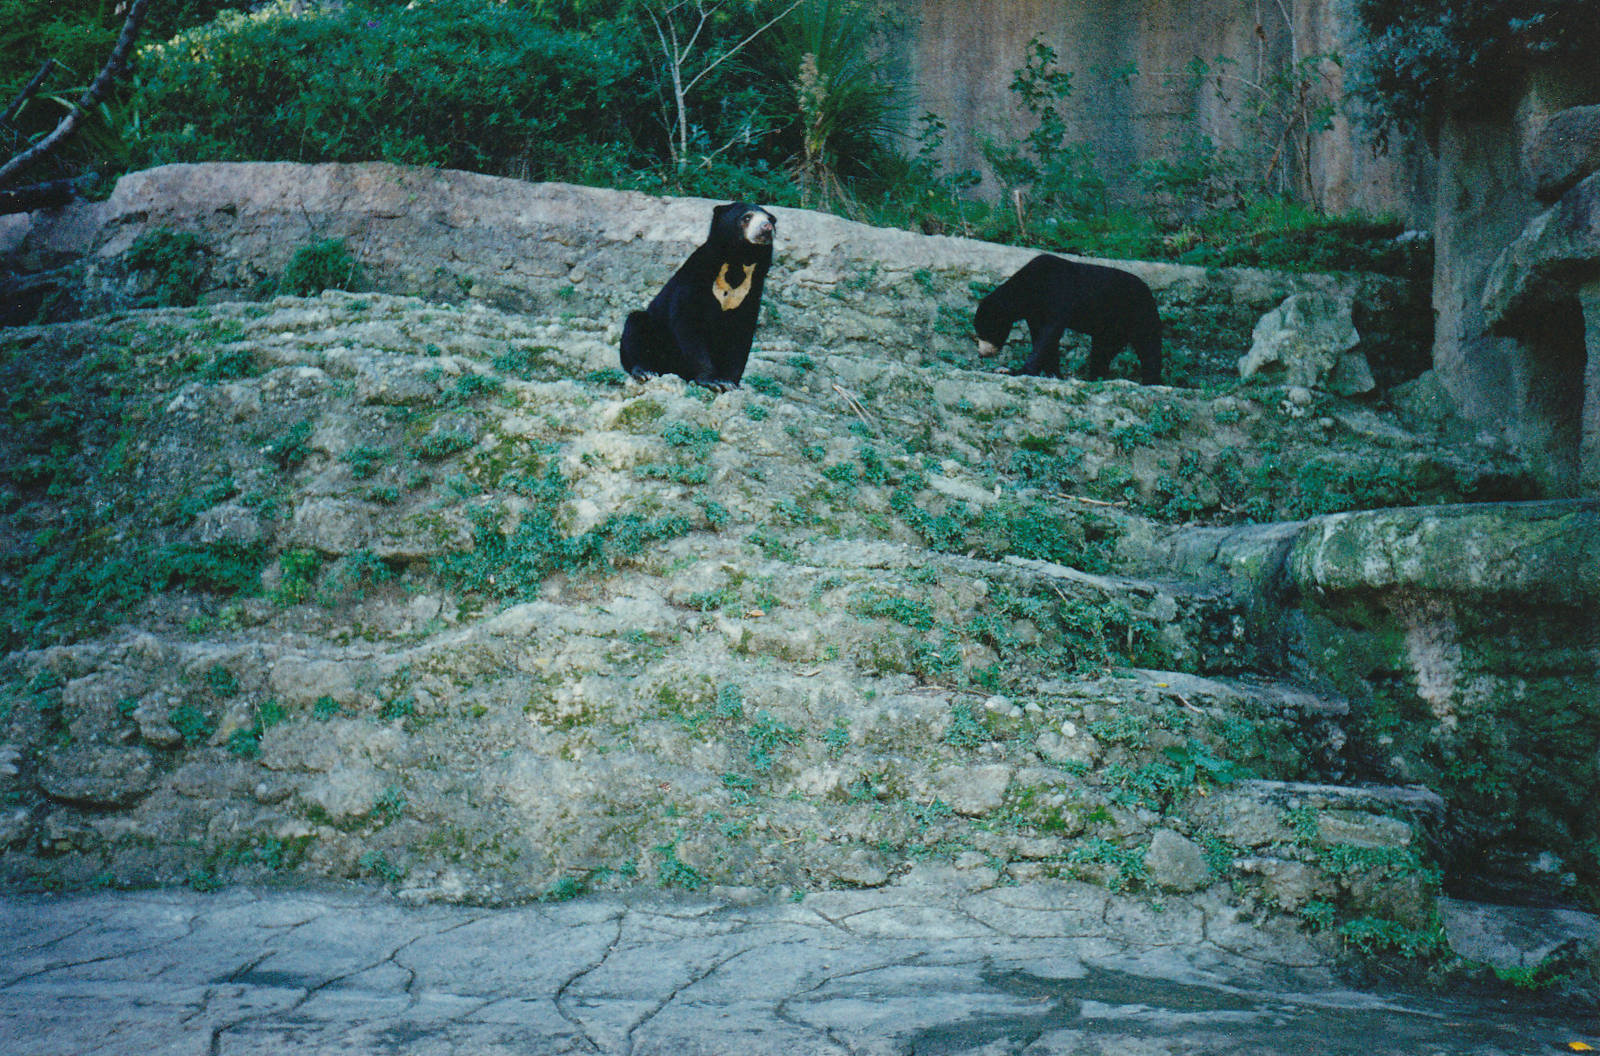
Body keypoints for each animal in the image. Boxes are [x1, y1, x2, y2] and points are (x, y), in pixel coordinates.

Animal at [620, 201, 777, 390]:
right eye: (747, 217)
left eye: (770, 219)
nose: (767, 227)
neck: (738, 261)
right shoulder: (695, 279)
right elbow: (688, 323)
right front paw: (713, 381)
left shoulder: (750, 292)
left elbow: (741, 334)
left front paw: (729, 382)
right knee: (636, 324)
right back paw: (645, 371)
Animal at [974, 254, 1162, 385]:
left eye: (983, 332)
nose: (982, 353)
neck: (1030, 289)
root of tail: (1148, 290)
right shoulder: (1034, 312)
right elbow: (1042, 337)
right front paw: (1053, 373)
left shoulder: (1057, 293)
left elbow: (1049, 333)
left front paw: (1018, 370)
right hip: (1110, 328)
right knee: (1102, 351)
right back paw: (1095, 377)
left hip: (1139, 313)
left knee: (1149, 346)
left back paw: (1151, 381)